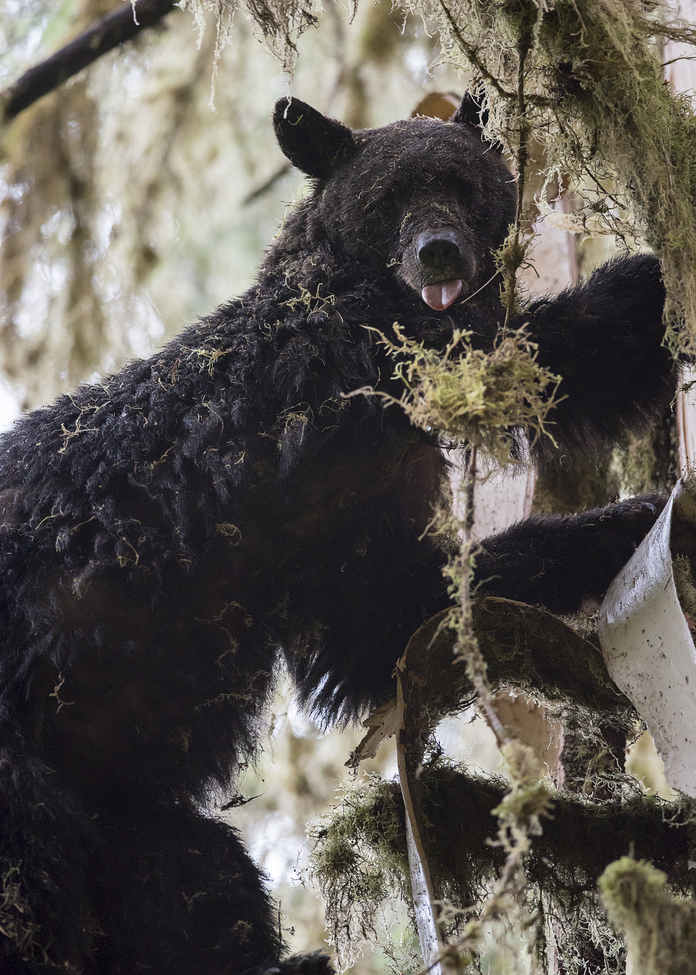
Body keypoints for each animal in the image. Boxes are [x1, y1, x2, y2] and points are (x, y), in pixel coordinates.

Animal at [0, 93, 677, 975]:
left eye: (463, 184)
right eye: (387, 199)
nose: (437, 251)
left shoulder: (347, 528)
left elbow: (390, 626)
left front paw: (612, 532)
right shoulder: (341, 368)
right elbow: (539, 353)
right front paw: (654, 284)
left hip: (113, 804)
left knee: (183, 868)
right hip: (17, 776)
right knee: (35, 890)